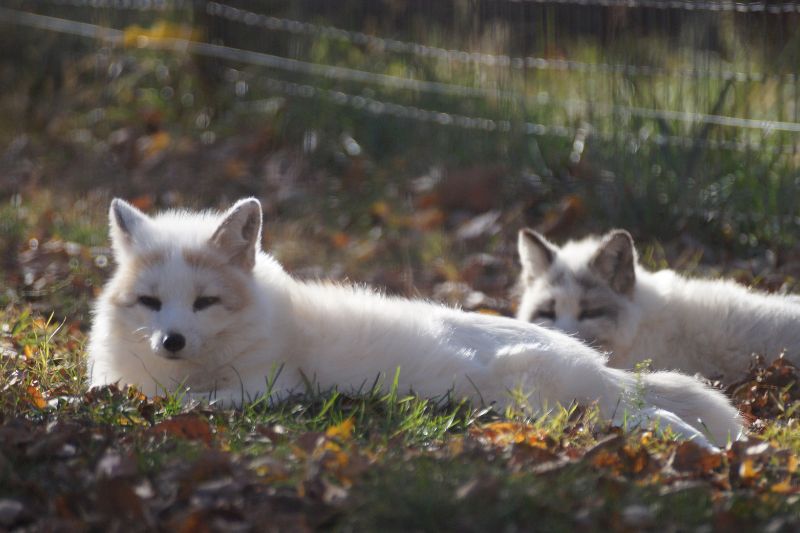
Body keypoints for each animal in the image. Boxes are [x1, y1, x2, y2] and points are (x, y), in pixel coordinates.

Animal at [87, 198, 743, 447]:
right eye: (150, 302)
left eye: (204, 302)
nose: (171, 340)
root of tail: (596, 361)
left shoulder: (273, 387)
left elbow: (193, 404)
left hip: (556, 404)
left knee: (651, 418)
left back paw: (708, 448)